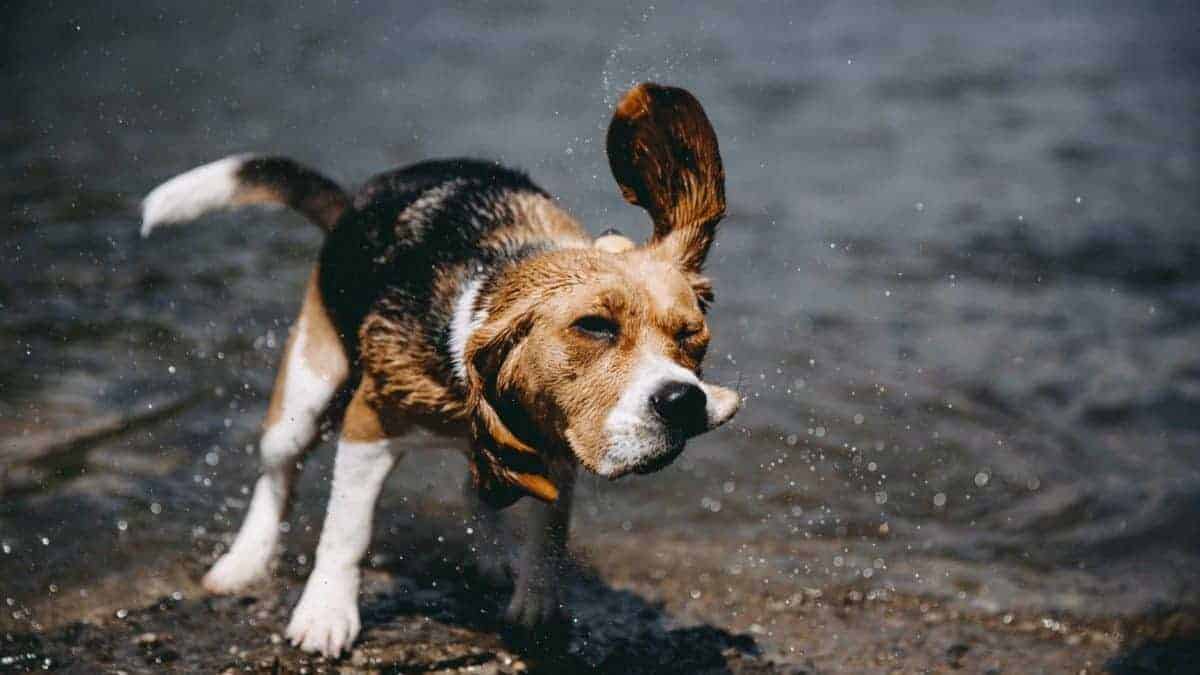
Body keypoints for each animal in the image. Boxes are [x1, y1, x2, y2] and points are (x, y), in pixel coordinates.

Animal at [140, 81, 739, 653]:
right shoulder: (368, 425)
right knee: (277, 476)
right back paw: (244, 561)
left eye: (692, 336)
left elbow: (548, 532)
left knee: (477, 490)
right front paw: (325, 615)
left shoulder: (556, 442)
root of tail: (353, 206)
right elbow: (346, 532)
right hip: (307, 390)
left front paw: (537, 606)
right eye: (593, 326)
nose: (684, 401)